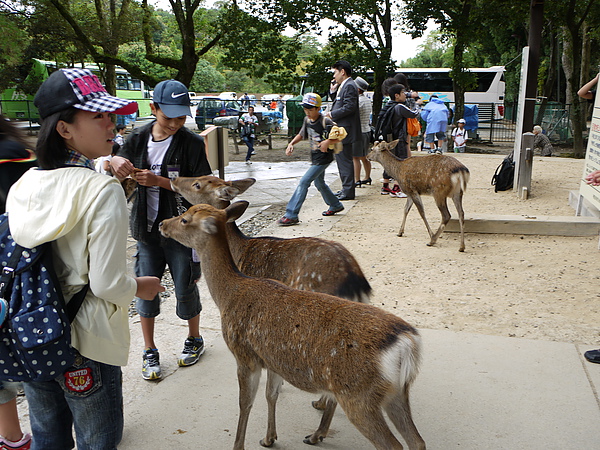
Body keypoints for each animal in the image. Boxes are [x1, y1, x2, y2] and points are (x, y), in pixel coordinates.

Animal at [157, 200, 424, 450]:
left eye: (184, 219)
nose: (162, 224)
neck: (228, 295)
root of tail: (406, 343)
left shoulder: (244, 354)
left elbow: (245, 403)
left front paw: (239, 445)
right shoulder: (272, 357)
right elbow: (271, 394)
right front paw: (269, 438)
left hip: (359, 395)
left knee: (393, 444)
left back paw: (317, 433)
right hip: (397, 392)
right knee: (417, 440)